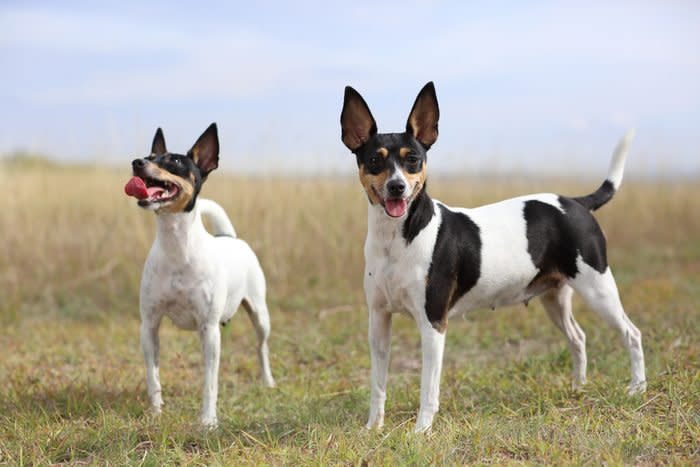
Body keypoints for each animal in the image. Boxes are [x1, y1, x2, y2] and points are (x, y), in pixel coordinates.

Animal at [126, 123, 276, 428]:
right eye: (149, 156)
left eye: (174, 161)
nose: (136, 162)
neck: (177, 248)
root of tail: (228, 236)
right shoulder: (149, 325)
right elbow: (152, 375)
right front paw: (156, 412)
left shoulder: (209, 330)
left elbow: (210, 382)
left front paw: (208, 421)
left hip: (259, 313)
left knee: (262, 347)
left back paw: (267, 381)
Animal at [340, 82, 644, 434]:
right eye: (375, 161)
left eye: (413, 160)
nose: (397, 187)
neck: (397, 239)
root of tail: (576, 203)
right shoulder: (378, 321)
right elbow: (378, 384)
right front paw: (373, 428)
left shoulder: (433, 324)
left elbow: (428, 388)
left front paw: (421, 431)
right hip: (555, 297)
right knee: (578, 338)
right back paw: (578, 388)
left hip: (598, 290)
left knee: (631, 334)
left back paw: (637, 388)